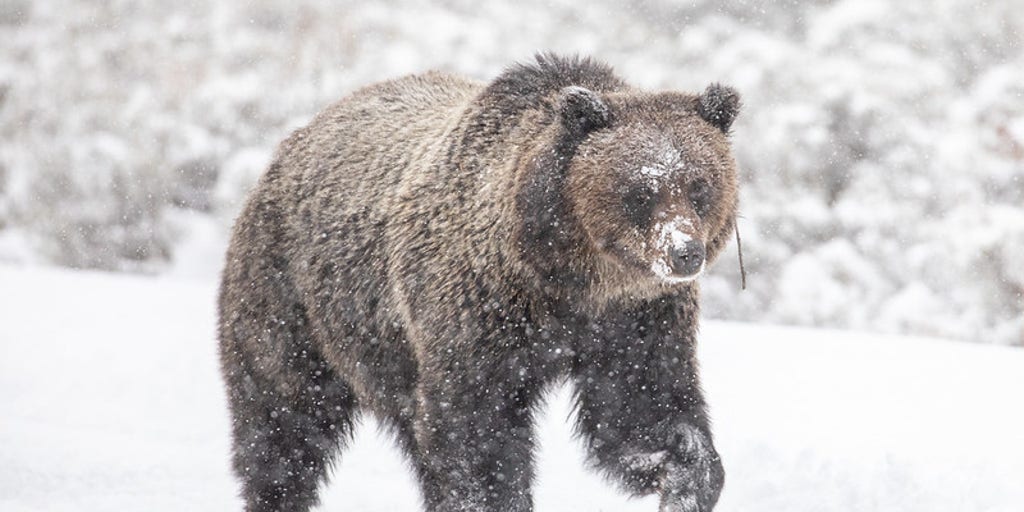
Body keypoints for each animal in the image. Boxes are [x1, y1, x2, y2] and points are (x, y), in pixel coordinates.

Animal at [220, 52, 741, 512]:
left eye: (700, 186)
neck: (569, 281)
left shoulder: (637, 321)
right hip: (293, 302)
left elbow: (643, 410)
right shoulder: (479, 313)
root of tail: (293, 141)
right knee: (282, 424)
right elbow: (478, 433)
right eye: (641, 191)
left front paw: (683, 478)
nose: (683, 252)